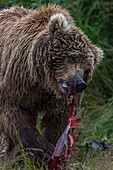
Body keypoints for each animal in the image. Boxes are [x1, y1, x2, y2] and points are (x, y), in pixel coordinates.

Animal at [0, 4, 103, 165]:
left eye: (87, 69)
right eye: (72, 58)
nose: (79, 83)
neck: (43, 81)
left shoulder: (58, 100)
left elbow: (57, 123)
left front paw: (56, 152)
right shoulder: (17, 81)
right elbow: (16, 113)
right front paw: (43, 151)